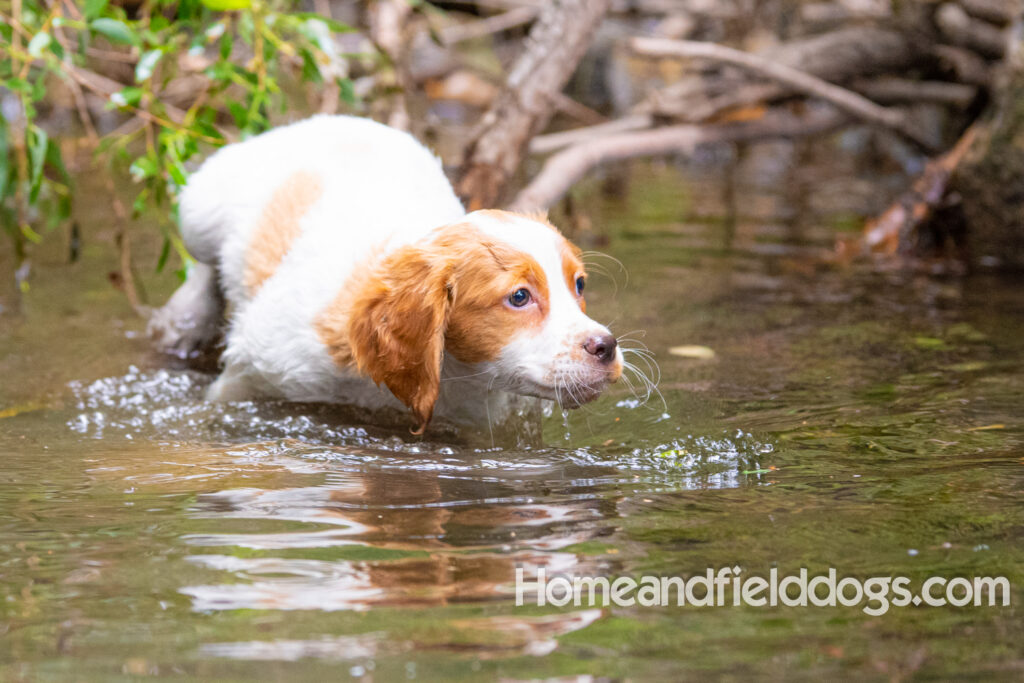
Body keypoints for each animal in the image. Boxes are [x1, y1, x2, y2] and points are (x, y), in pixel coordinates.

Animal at [149, 114, 622, 430]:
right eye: (519, 297)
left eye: (579, 285)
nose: (607, 346)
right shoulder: (247, 372)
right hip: (200, 207)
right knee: (203, 264)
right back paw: (185, 318)